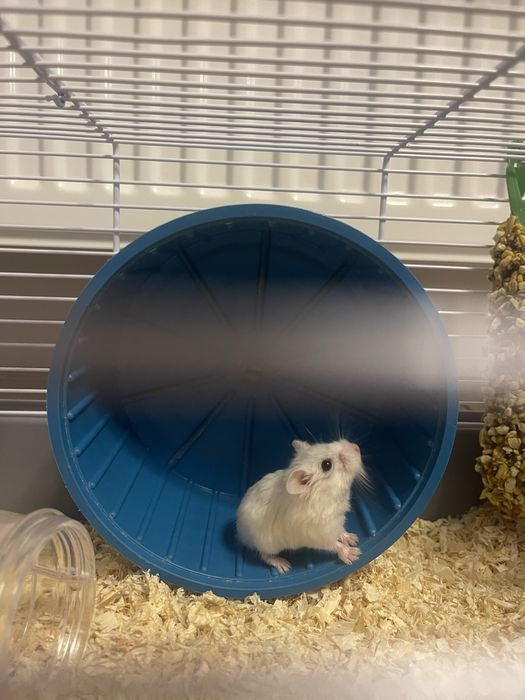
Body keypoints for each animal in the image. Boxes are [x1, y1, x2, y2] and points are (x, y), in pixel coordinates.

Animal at [236, 438, 365, 573]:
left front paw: (354, 538)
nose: (357, 447)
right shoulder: (320, 535)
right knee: (264, 555)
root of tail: (240, 533)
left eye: (325, 444)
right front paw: (354, 554)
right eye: (326, 465)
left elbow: (341, 531)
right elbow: (335, 544)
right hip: (267, 545)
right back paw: (284, 566)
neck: (328, 496)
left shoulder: (337, 521)